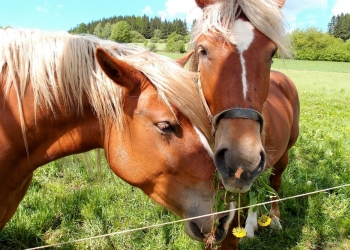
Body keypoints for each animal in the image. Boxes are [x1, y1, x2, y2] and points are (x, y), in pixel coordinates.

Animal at [190, 0, 300, 248]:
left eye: (271, 53)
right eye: (203, 50)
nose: (241, 161)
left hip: (283, 155)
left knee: (274, 183)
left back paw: (273, 220)